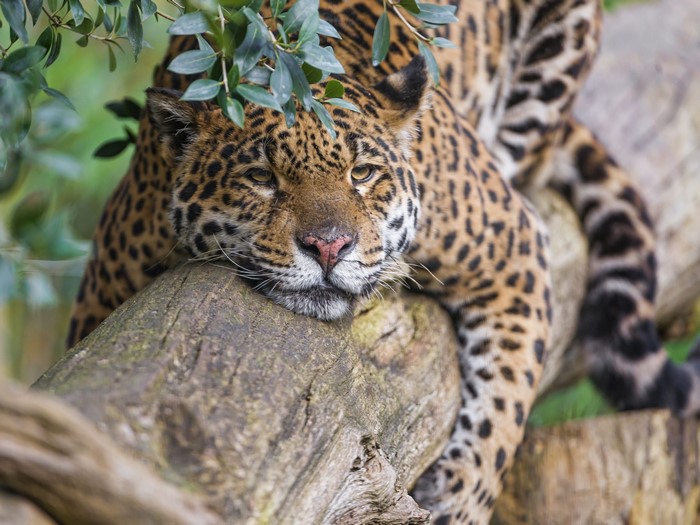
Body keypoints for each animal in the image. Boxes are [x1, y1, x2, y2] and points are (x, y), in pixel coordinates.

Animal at [67, 0, 700, 523]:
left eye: (362, 173)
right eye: (262, 178)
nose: (328, 247)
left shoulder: (512, 245)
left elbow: (505, 406)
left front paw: (460, 498)